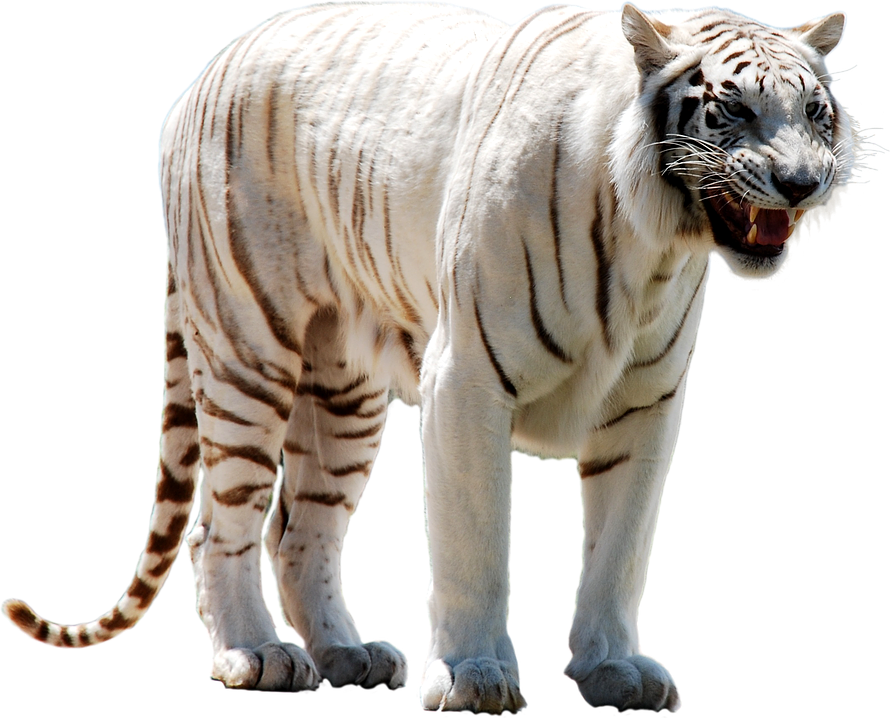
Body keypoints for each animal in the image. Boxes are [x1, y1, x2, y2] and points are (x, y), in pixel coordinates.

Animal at [1, 1, 881, 713]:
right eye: (731, 109)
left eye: (815, 111)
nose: (802, 182)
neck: (653, 242)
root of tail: (209, 70)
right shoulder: (468, 378)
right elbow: (475, 540)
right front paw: (473, 678)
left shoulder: (645, 403)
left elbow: (622, 544)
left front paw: (613, 668)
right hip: (248, 346)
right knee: (220, 525)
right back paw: (257, 654)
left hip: (343, 394)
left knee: (299, 530)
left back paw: (346, 656)